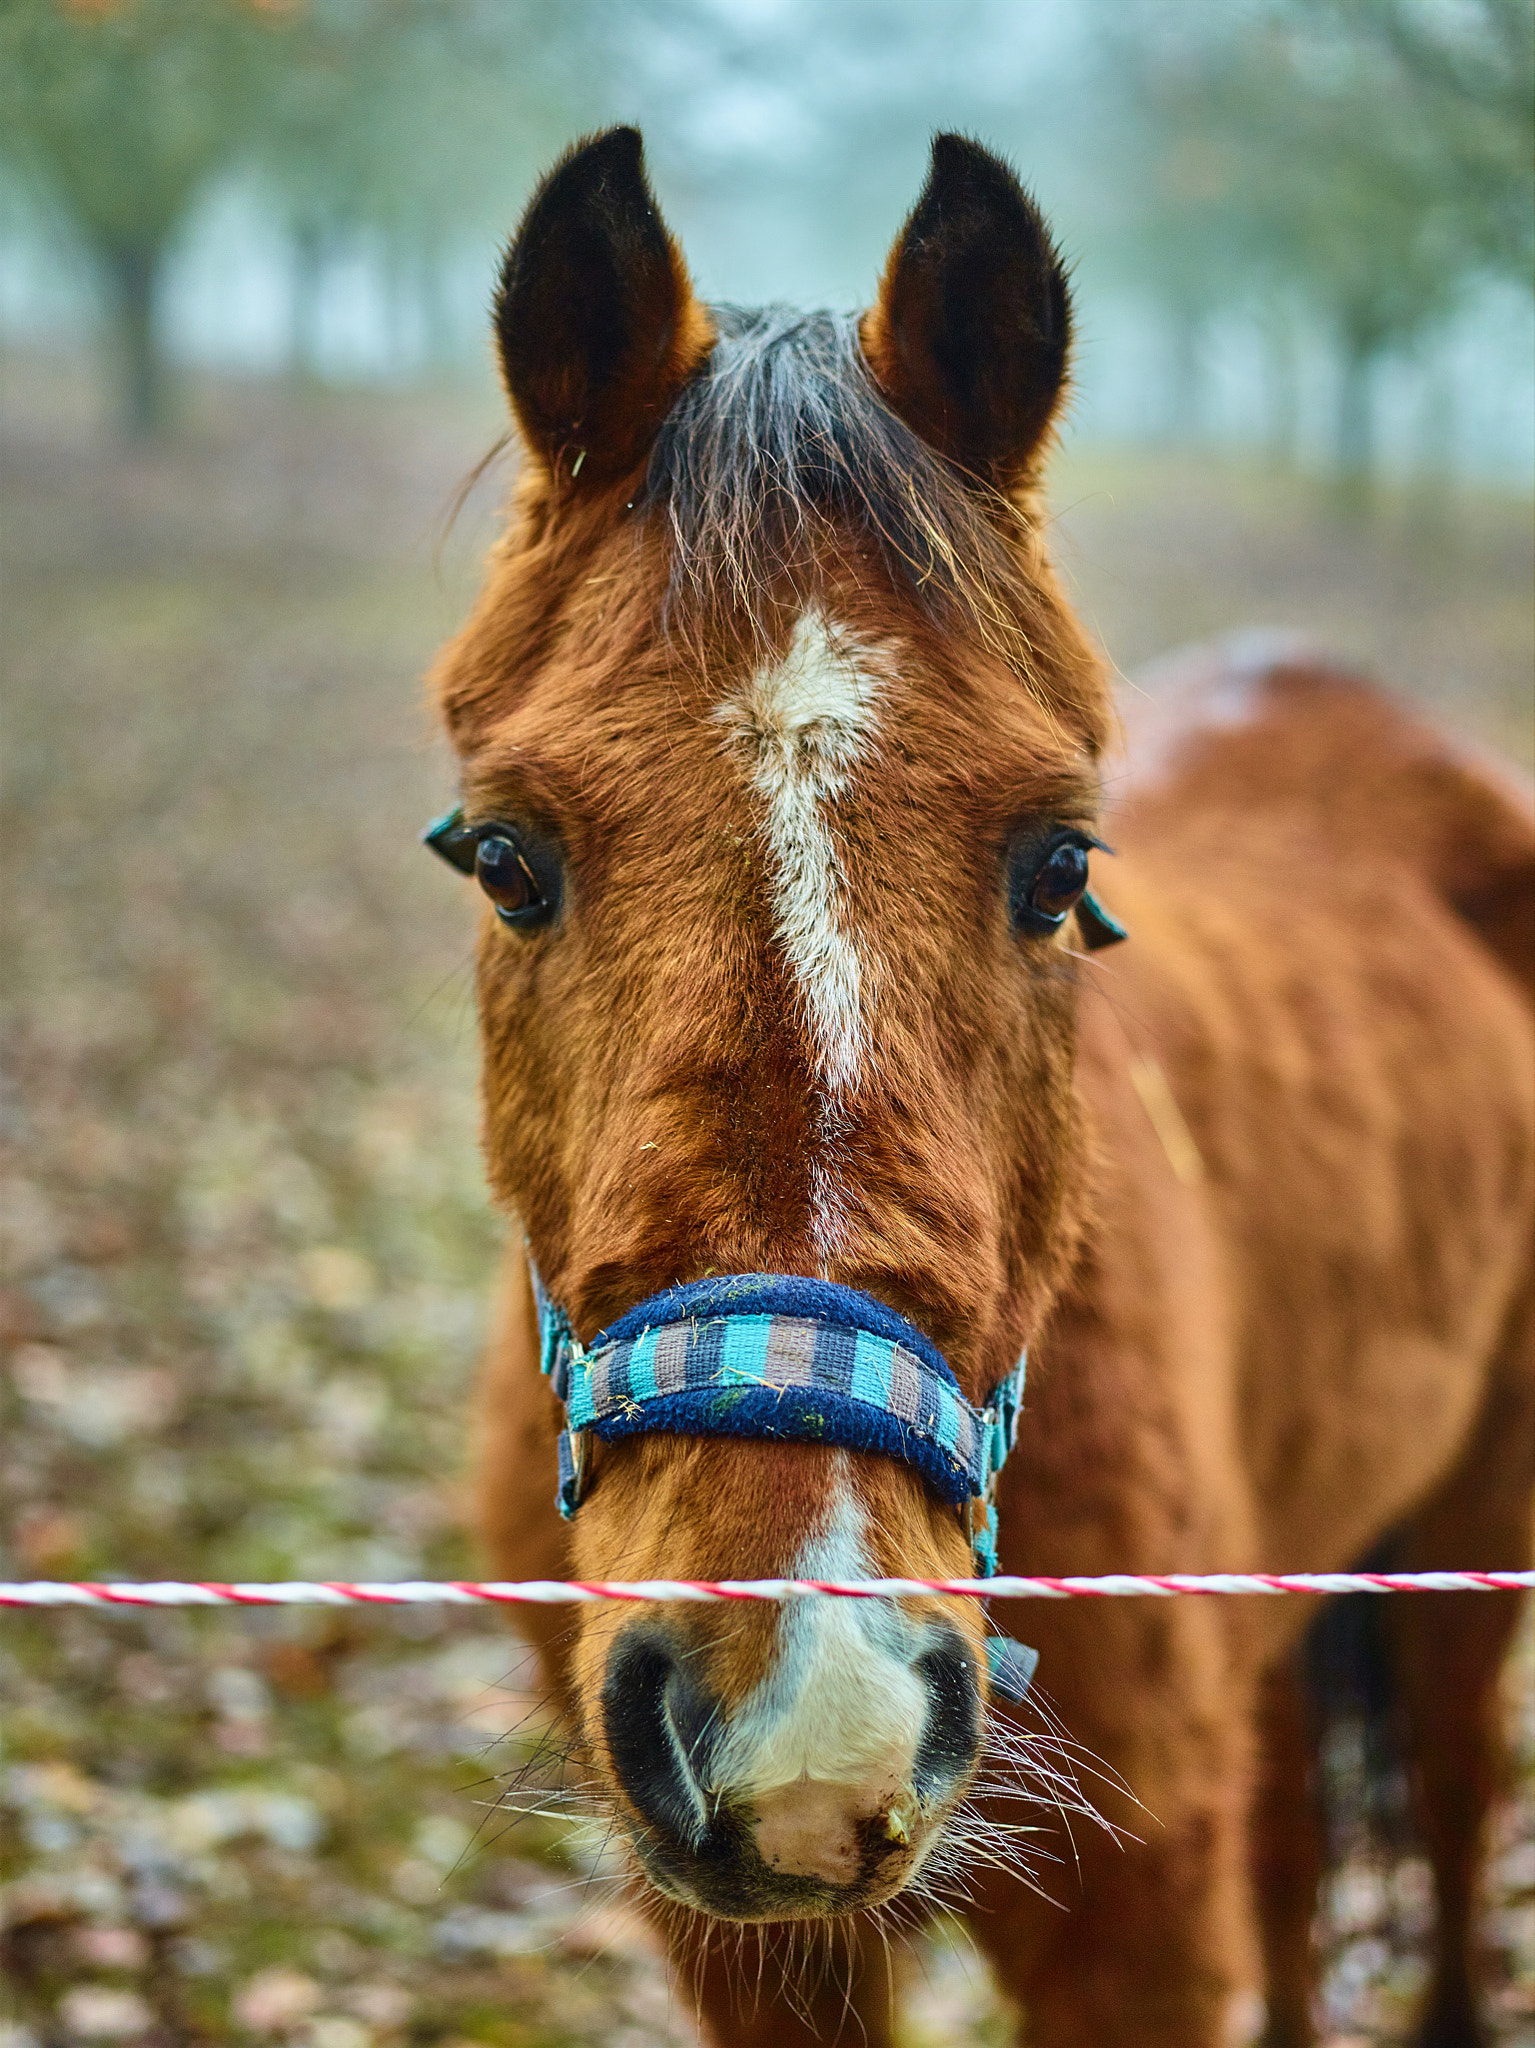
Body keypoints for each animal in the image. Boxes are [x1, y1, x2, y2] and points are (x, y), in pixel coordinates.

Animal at [427, 128, 1535, 2048]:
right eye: (506, 858)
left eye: (1058, 864)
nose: (808, 1698)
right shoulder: (752, 1949)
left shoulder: (1133, 1924)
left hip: (1474, 1518)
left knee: (1458, 1794)